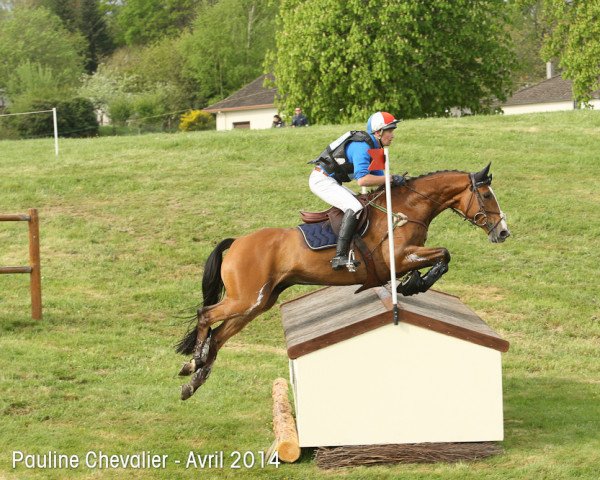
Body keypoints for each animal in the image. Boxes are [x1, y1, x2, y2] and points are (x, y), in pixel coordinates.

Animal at [176, 163, 508, 400]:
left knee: (219, 337)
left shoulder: (407, 257)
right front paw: (413, 284)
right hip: (246, 298)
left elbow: (442, 257)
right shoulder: (399, 257)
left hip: (259, 302)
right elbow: (444, 255)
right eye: (487, 195)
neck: (407, 208)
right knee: (205, 316)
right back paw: (195, 363)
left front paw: (412, 284)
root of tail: (237, 242)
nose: (503, 232)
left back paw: (193, 380)